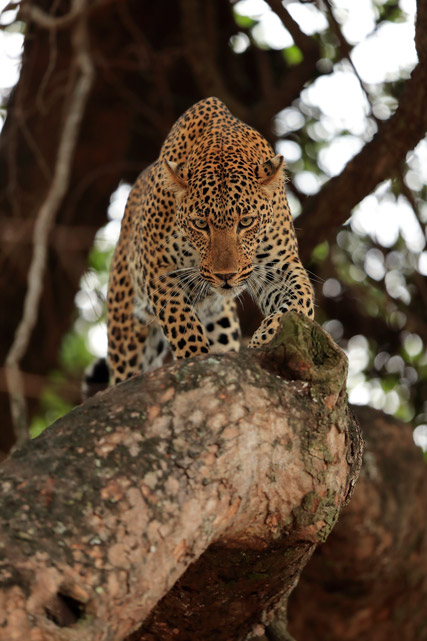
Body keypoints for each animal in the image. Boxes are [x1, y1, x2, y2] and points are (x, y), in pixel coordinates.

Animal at [107, 97, 314, 384]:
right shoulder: (160, 273)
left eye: (246, 222)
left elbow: (300, 301)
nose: (225, 276)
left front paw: (262, 343)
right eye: (201, 224)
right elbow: (184, 329)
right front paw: (194, 360)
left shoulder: (279, 265)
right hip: (126, 329)